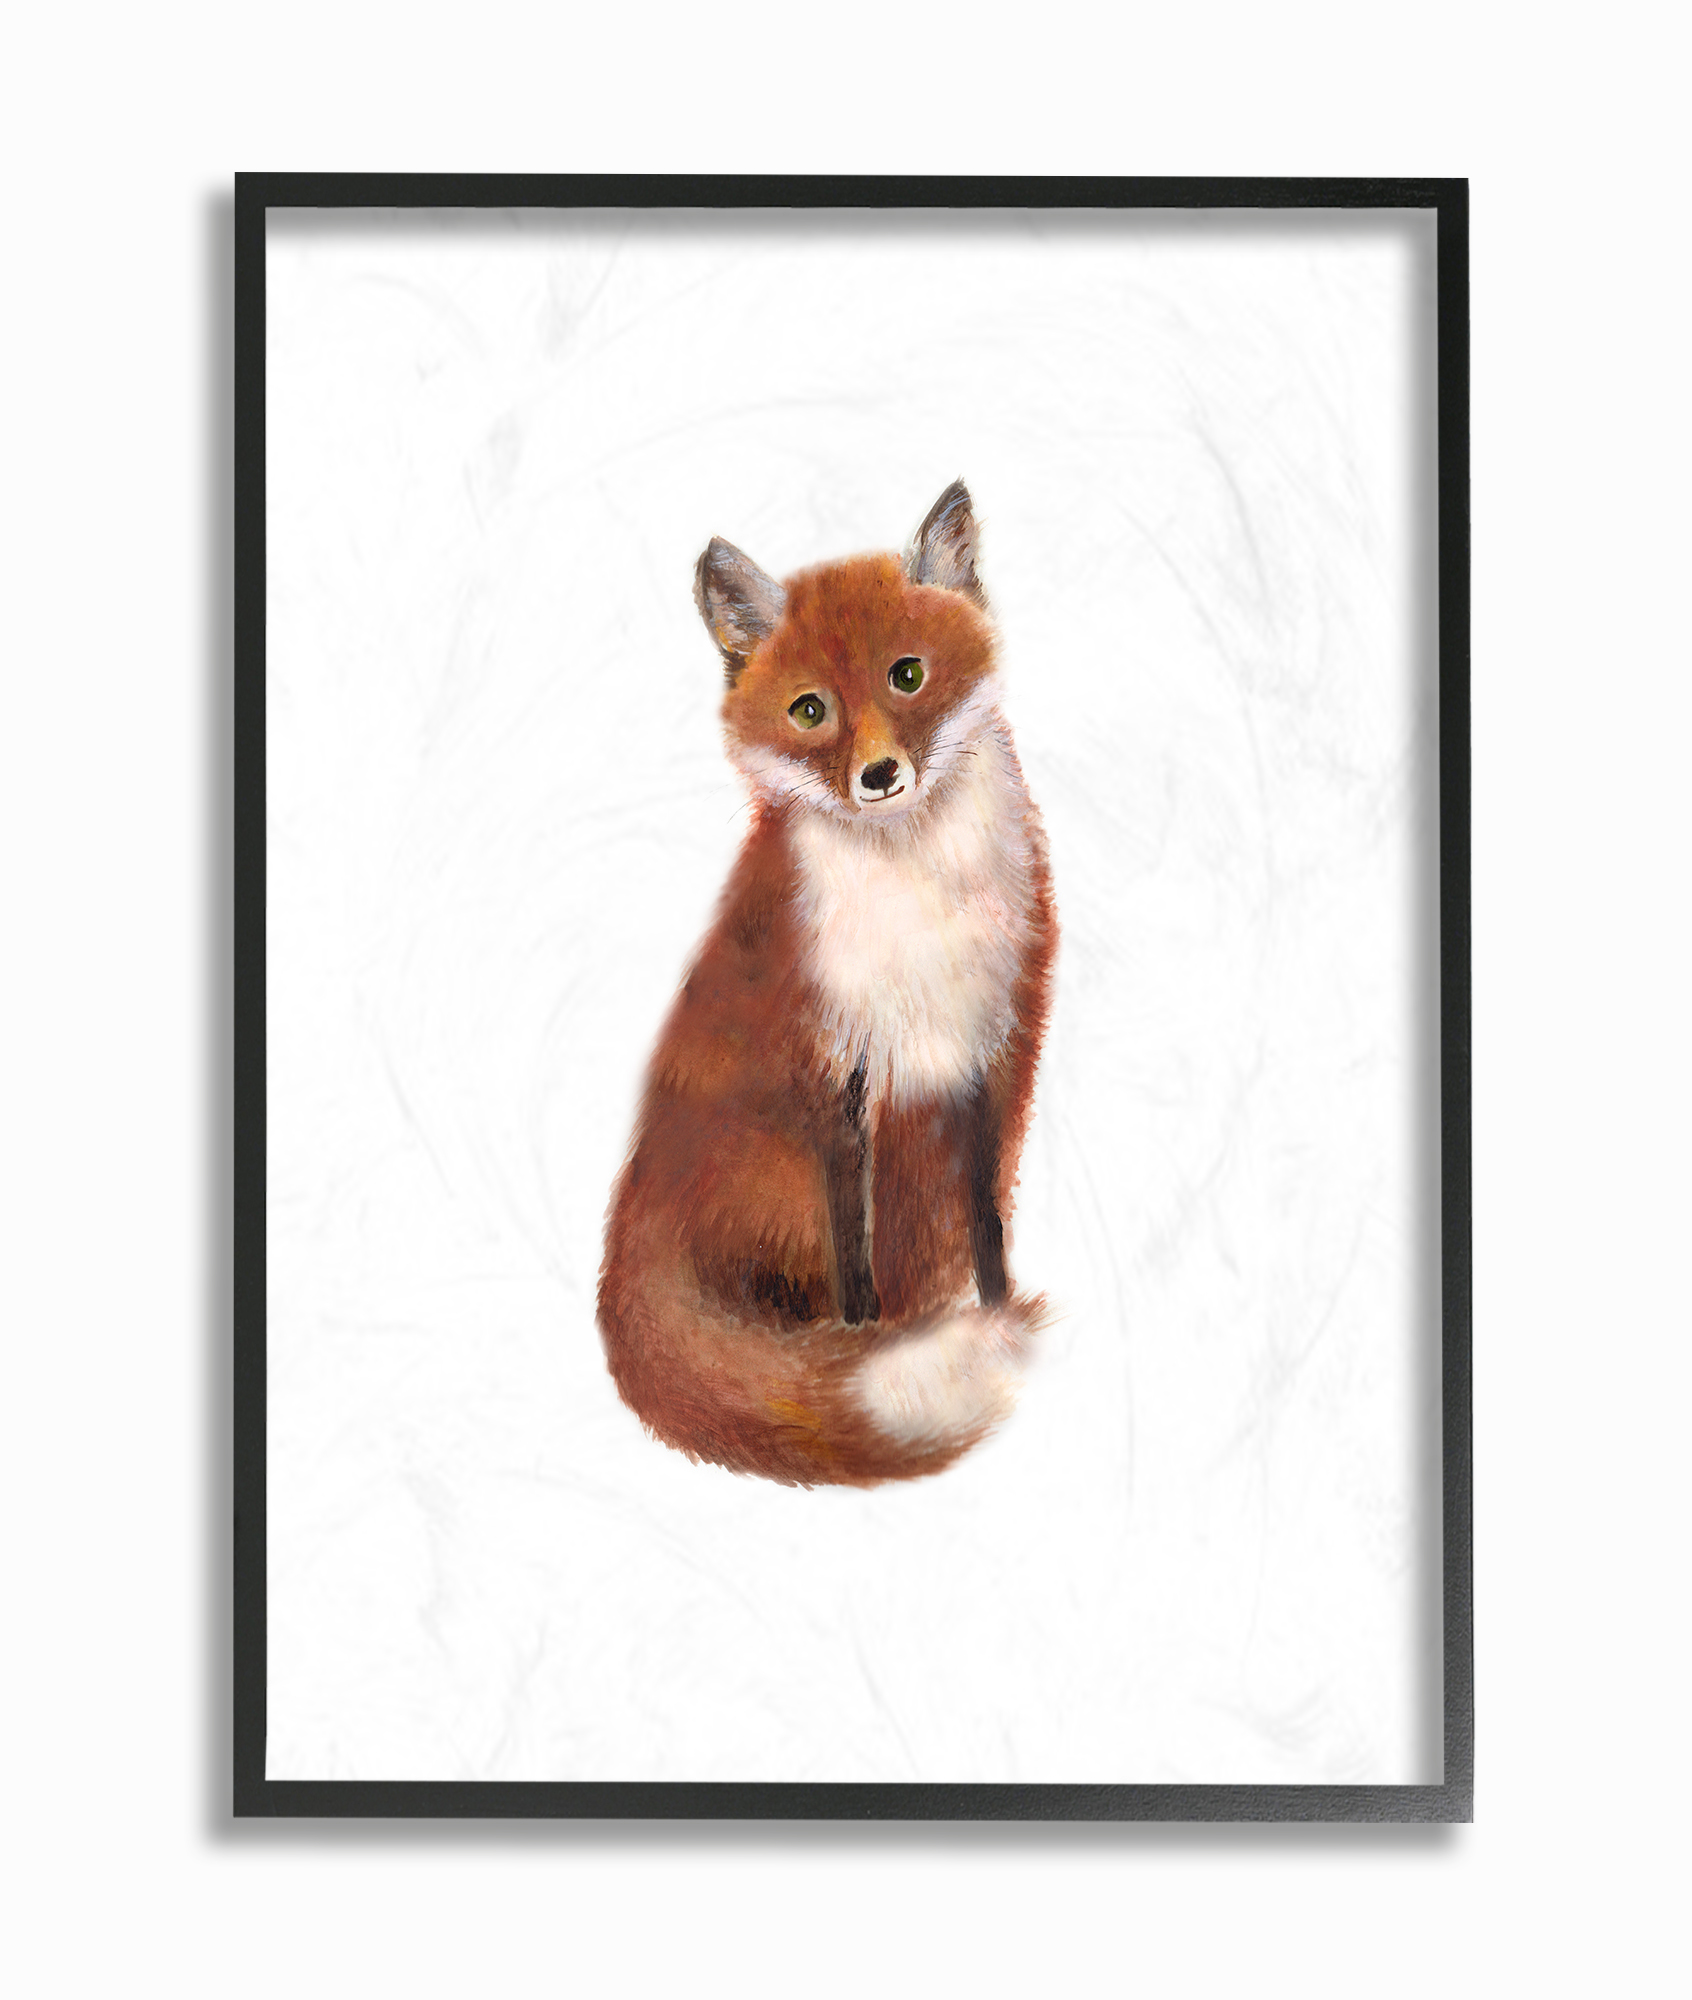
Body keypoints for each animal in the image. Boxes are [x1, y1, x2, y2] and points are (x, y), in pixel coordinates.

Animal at [597, 481, 1057, 1486]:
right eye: (810, 710)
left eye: (908, 676)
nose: (880, 775)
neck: (913, 907)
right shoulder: (836, 1073)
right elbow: (856, 1260)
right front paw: (864, 1348)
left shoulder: (990, 1054)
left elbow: (989, 1224)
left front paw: (999, 1312)